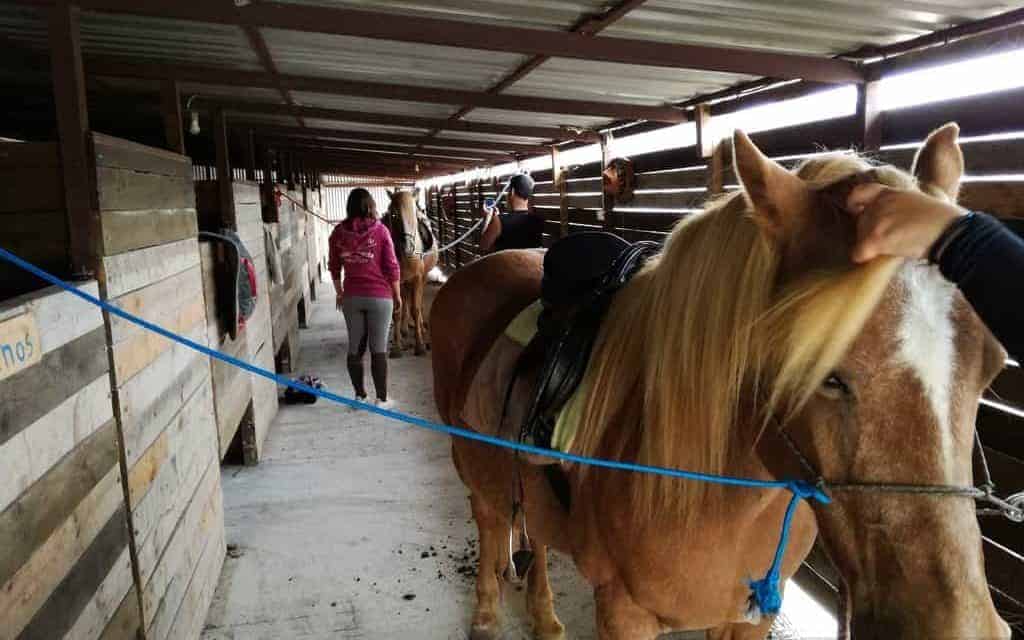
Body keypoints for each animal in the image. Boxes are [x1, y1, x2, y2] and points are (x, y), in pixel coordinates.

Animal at [382, 189, 434, 360]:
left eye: (414, 214)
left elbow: (415, 309)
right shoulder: (395, 281)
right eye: (393, 214)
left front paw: (420, 345)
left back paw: (420, 327)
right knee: (404, 300)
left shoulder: (417, 278)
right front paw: (397, 347)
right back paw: (404, 329)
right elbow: (397, 311)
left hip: (422, 278)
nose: (407, 247)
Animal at [428, 125, 1011, 638]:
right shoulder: (624, 615)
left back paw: (546, 619)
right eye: (825, 375)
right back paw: (487, 614)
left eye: (992, 366)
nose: (960, 628)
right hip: (467, 459)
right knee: (488, 521)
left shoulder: (748, 620)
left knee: (539, 536)